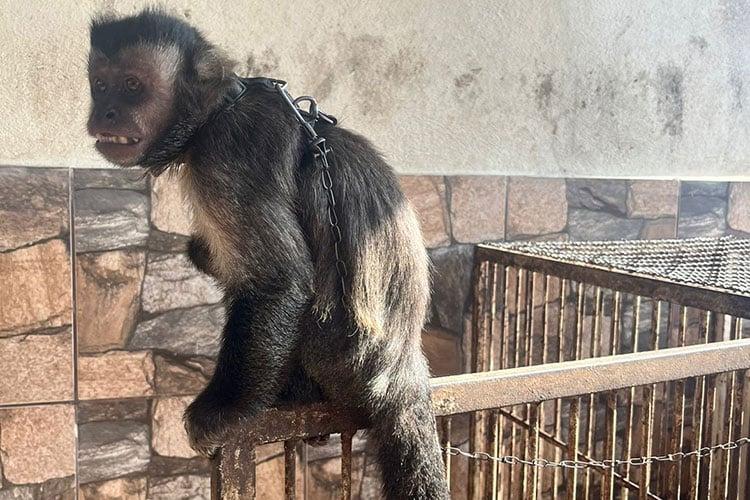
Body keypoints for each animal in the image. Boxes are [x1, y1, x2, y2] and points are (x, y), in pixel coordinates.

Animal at [87, 9, 449, 499]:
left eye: (131, 85)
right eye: (100, 85)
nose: (104, 111)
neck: (218, 109)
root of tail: (402, 368)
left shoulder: (227, 154)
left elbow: (279, 281)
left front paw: (217, 413)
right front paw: (201, 250)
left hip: (338, 355)